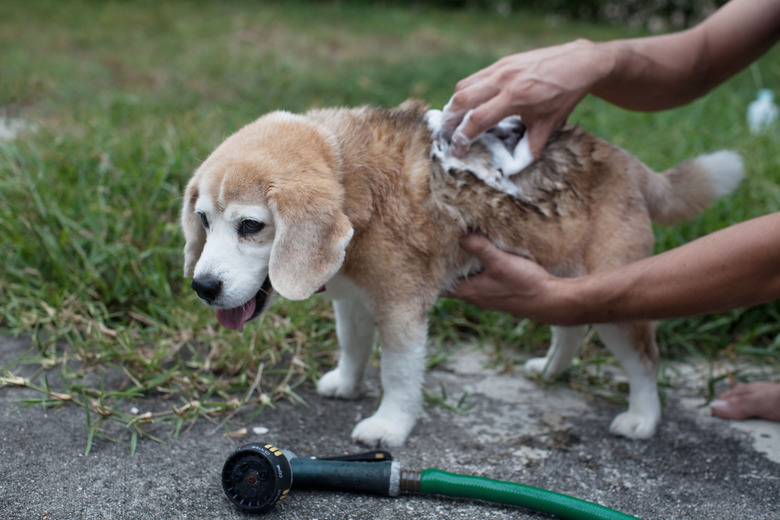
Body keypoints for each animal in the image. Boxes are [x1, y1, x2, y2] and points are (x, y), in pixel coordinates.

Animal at [181, 98, 744, 446]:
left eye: (251, 226)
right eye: (204, 220)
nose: (202, 287)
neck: (351, 171)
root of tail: (629, 163)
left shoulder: (401, 309)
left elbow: (398, 373)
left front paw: (389, 426)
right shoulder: (353, 297)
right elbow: (352, 345)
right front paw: (346, 381)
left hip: (619, 302)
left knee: (644, 361)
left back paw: (643, 418)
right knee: (571, 325)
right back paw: (550, 370)